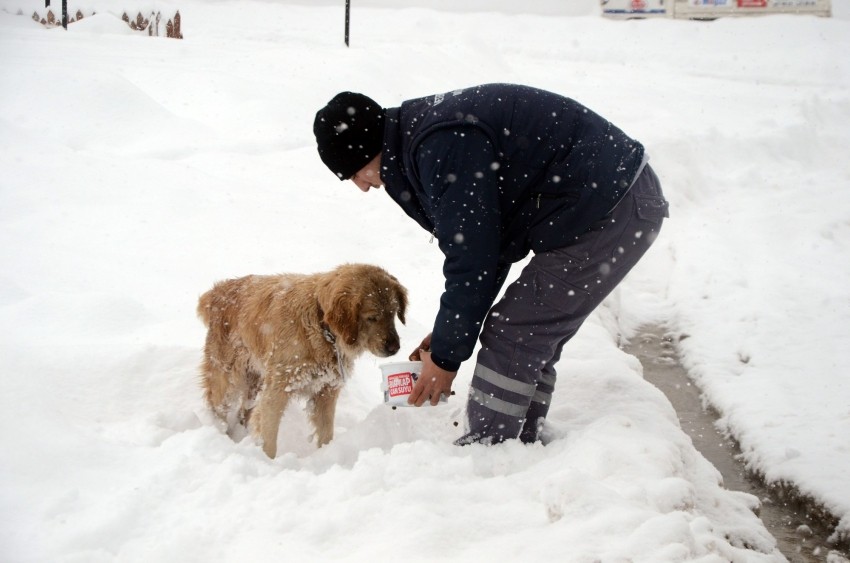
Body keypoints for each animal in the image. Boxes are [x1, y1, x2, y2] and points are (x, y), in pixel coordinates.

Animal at [200, 264, 410, 458]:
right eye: (372, 318)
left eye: (393, 313)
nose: (395, 348)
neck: (322, 327)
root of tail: (219, 289)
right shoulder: (277, 391)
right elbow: (269, 436)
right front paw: (268, 462)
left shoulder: (327, 390)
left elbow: (326, 432)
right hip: (226, 380)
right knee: (218, 408)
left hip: (254, 380)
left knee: (244, 413)